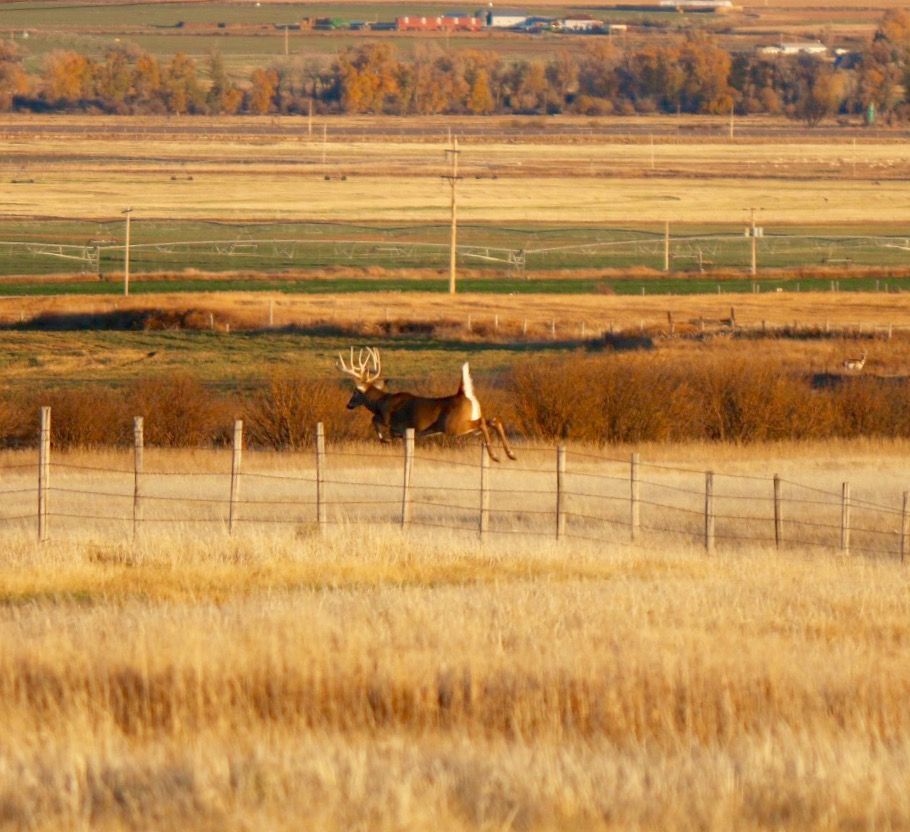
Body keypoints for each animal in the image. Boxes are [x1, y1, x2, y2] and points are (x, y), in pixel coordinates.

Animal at [337, 346, 516, 462]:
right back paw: (510, 454)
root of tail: (464, 394)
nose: (348, 405)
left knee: (483, 423)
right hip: (466, 421)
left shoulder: (390, 419)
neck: (381, 402)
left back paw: (495, 456)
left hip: (453, 425)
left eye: (355, 391)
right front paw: (387, 439)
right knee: (494, 420)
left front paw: (385, 440)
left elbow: (374, 420)